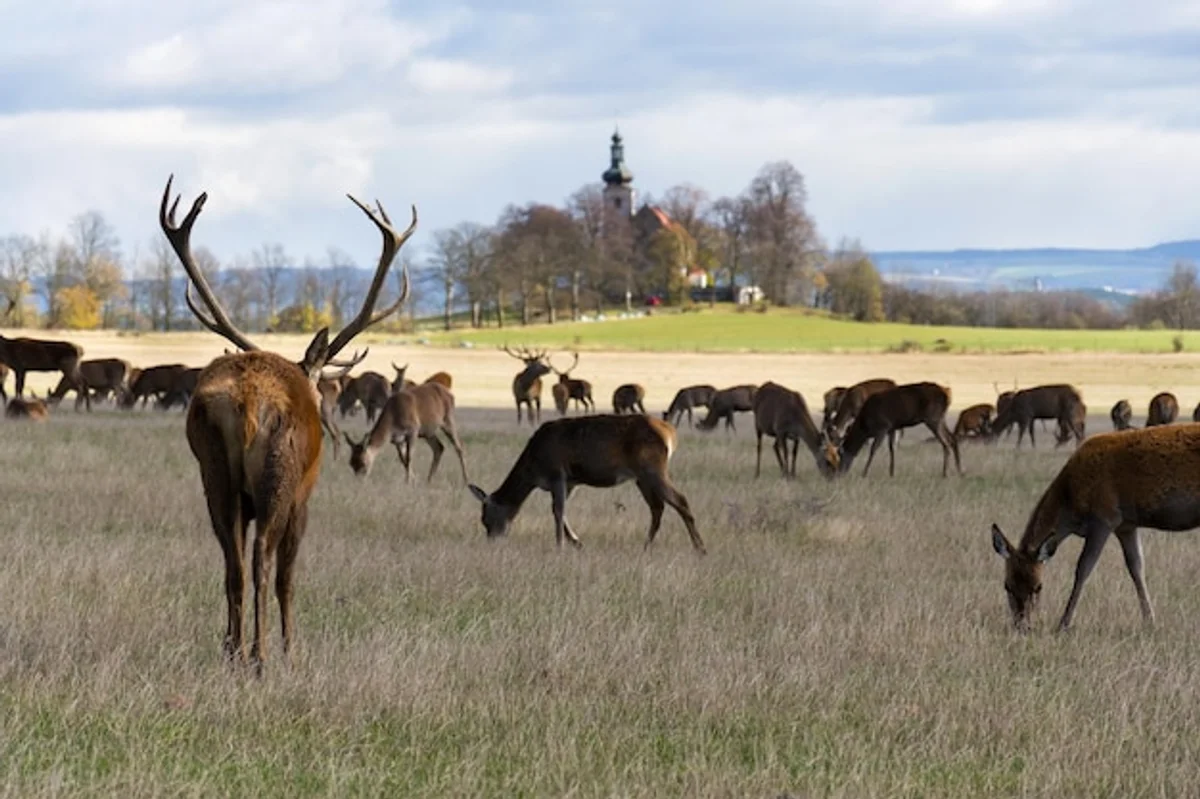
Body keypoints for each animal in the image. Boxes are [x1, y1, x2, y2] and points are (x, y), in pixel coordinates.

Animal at [160, 174, 413, 671]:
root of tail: (246, 400)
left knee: (233, 562)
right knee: (261, 558)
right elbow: (288, 577)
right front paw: (293, 648)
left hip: (214, 473)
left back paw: (234, 652)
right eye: (318, 380)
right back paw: (261, 658)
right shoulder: (303, 497)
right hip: (280, 474)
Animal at [467, 414, 705, 553]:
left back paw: (700, 548)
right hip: (642, 476)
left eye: (485, 518)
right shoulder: (570, 481)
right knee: (658, 507)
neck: (533, 469)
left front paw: (560, 546)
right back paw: (646, 547)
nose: (492, 540)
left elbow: (558, 511)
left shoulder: (557, 473)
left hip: (652, 468)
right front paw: (576, 542)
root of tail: (671, 434)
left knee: (680, 500)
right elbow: (559, 511)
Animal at [991, 424, 1200, 633]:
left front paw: (1063, 624)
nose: (1022, 625)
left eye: (1039, 586)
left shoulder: (1104, 518)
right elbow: (1136, 566)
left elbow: (1083, 568)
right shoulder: (1126, 525)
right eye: (1007, 585)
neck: (1070, 502)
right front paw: (1150, 621)